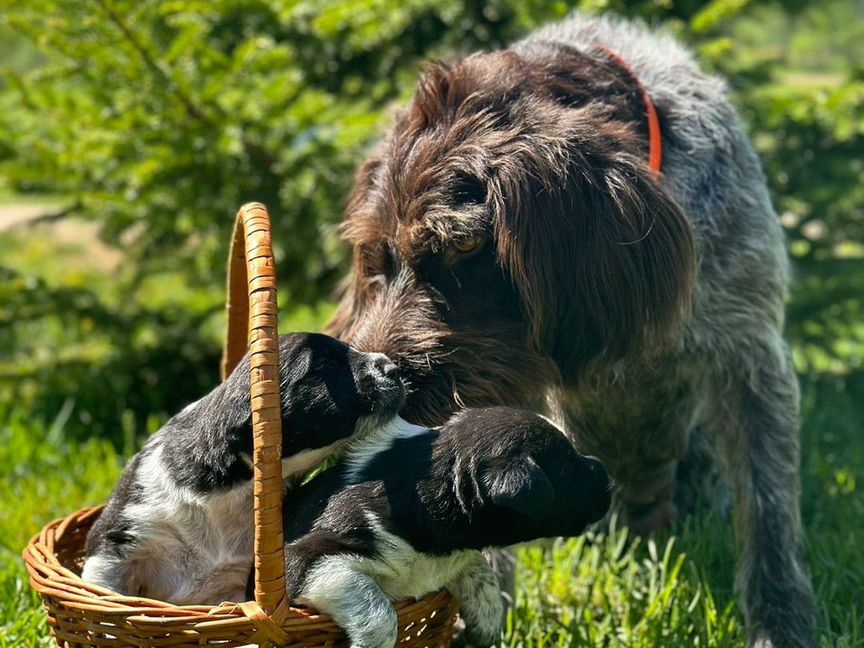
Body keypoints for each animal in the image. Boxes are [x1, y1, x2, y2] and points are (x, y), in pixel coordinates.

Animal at [253, 408, 612, 648]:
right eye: (568, 469)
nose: (607, 476)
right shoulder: (307, 559)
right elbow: (378, 611)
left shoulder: (455, 556)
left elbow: (483, 577)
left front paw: (484, 627)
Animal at [328, 11, 812, 648]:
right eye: (374, 257)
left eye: (462, 245)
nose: (381, 385)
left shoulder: (750, 357)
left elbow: (769, 508)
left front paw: (783, 624)